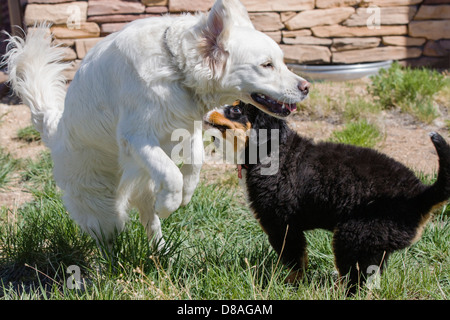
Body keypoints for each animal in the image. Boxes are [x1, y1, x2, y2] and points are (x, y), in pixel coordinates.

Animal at [3, 0, 312, 250]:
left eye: (281, 61)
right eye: (267, 65)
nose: (306, 87)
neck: (176, 69)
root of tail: (53, 130)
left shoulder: (189, 126)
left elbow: (196, 161)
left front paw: (185, 196)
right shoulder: (137, 137)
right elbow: (171, 174)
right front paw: (168, 204)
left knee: (149, 223)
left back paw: (162, 254)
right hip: (103, 210)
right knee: (107, 237)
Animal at [205, 102, 450, 292]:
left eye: (236, 110)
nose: (207, 111)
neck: (271, 151)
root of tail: (420, 195)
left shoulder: (281, 224)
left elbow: (294, 259)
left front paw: (289, 285)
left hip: (353, 236)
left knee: (354, 278)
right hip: (375, 243)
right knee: (370, 276)